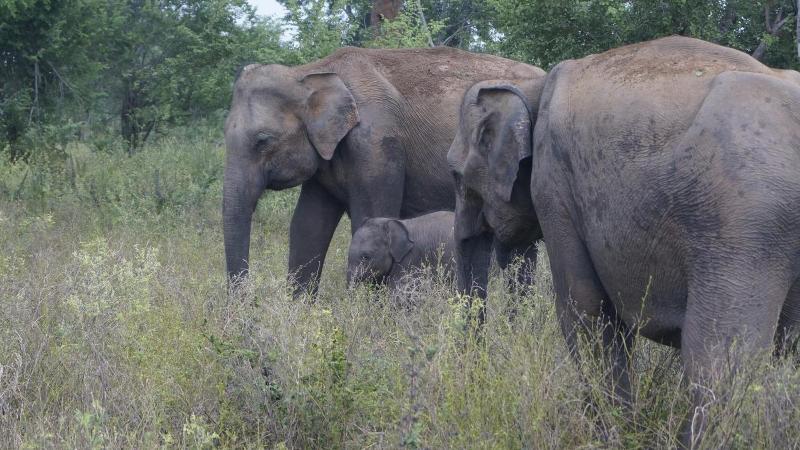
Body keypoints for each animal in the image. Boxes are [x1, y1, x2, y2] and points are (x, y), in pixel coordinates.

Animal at [223, 46, 544, 295]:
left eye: (263, 140)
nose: (245, 304)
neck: (311, 71)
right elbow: (307, 226)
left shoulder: (376, 146)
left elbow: (370, 214)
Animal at [453, 36, 800, 446]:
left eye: (455, 175)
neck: (532, 85)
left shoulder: (555, 189)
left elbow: (584, 309)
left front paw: (613, 437)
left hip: (741, 227)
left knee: (718, 358)